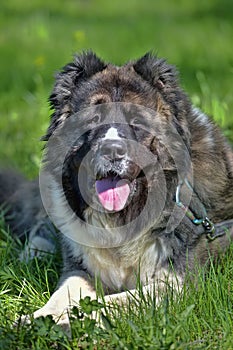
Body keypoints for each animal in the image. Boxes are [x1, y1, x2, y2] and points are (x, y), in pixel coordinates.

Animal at [0, 52, 233, 328]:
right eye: (93, 119)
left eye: (137, 121)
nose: (112, 150)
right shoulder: (82, 267)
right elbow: (64, 292)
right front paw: (37, 320)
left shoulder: (176, 284)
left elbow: (113, 302)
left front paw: (69, 323)